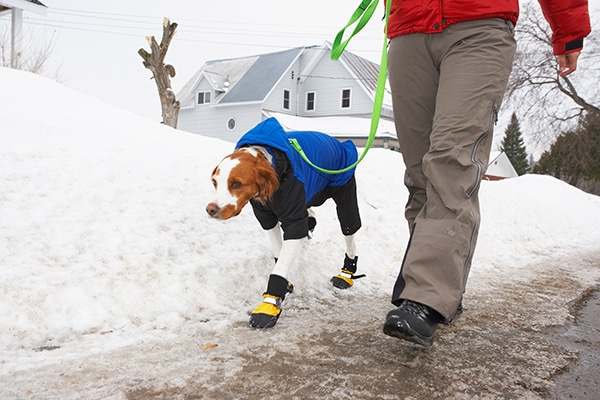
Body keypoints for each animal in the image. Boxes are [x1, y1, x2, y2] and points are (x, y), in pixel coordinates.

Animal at [206, 118, 360, 328]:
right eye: (215, 182)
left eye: (236, 184)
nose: (210, 209)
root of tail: (340, 143)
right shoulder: (267, 218)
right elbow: (280, 252)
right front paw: (284, 285)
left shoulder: (293, 219)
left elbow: (282, 262)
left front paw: (268, 306)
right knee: (311, 217)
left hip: (344, 194)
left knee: (349, 230)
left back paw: (346, 273)